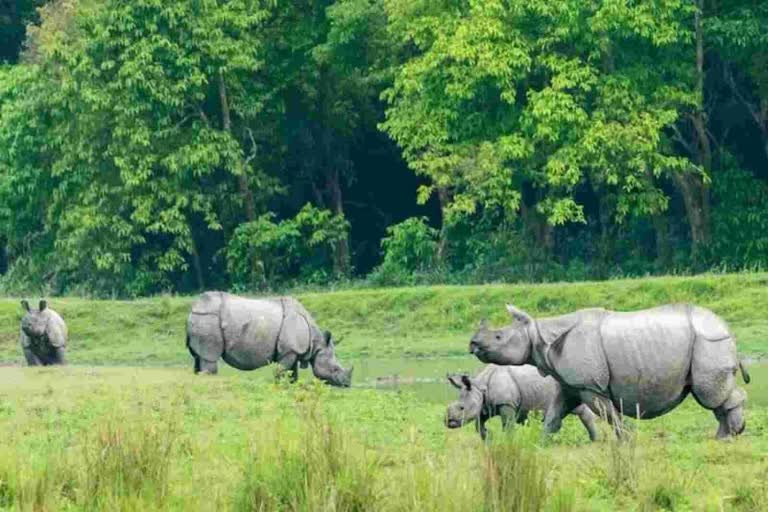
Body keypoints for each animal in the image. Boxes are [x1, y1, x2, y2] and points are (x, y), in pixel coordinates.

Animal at [186, 290, 354, 386]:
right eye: (334, 369)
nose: (347, 385)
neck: (316, 342)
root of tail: (193, 309)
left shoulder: (292, 351)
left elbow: (292, 373)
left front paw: (291, 385)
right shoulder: (289, 350)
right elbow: (281, 371)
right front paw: (278, 385)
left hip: (203, 318)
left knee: (198, 358)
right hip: (209, 318)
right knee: (210, 358)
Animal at [444, 364, 600, 440]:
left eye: (462, 408)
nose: (449, 422)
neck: (480, 386)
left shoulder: (506, 403)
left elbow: (507, 426)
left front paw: (509, 442)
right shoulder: (485, 405)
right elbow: (478, 425)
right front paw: (488, 437)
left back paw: (594, 441)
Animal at [468, 304, 752, 440]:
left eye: (498, 336)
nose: (472, 343)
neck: (539, 335)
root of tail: (727, 327)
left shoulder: (590, 385)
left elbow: (609, 414)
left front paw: (627, 439)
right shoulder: (572, 384)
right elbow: (553, 416)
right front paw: (541, 442)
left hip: (709, 341)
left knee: (709, 393)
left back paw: (729, 435)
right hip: (707, 341)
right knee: (712, 394)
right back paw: (723, 436)